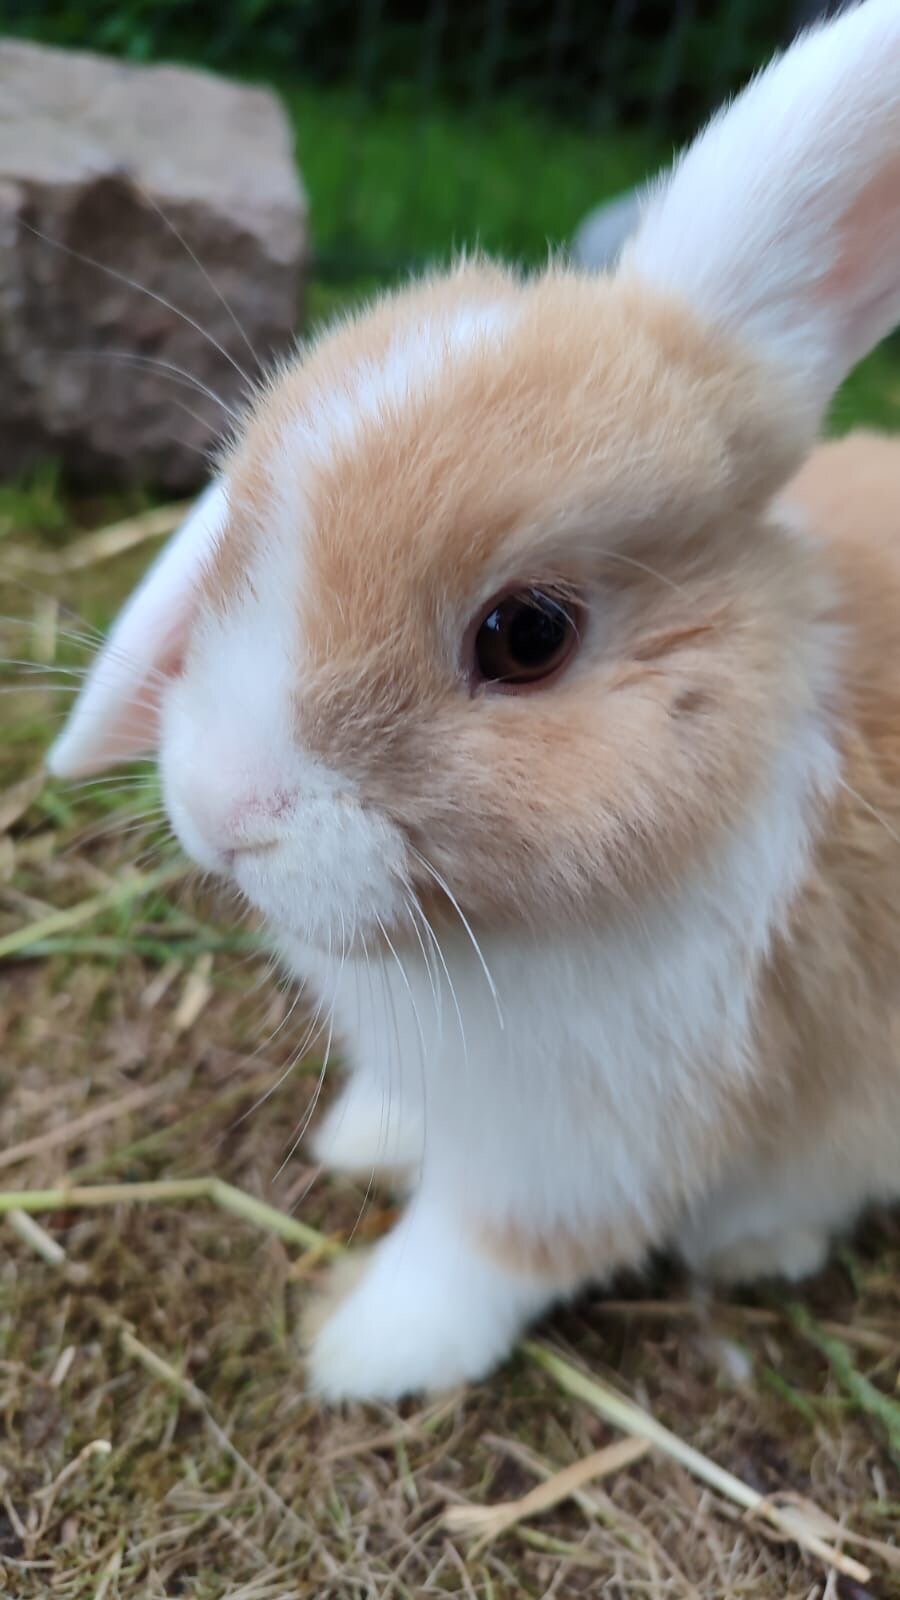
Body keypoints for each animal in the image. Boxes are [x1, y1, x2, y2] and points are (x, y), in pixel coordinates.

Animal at [49, 0, 900, 1402]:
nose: (222, 813)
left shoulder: (582, 1148)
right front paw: (364, 1140)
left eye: (527, 635)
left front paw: (356, 1346)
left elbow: (483, 1252)